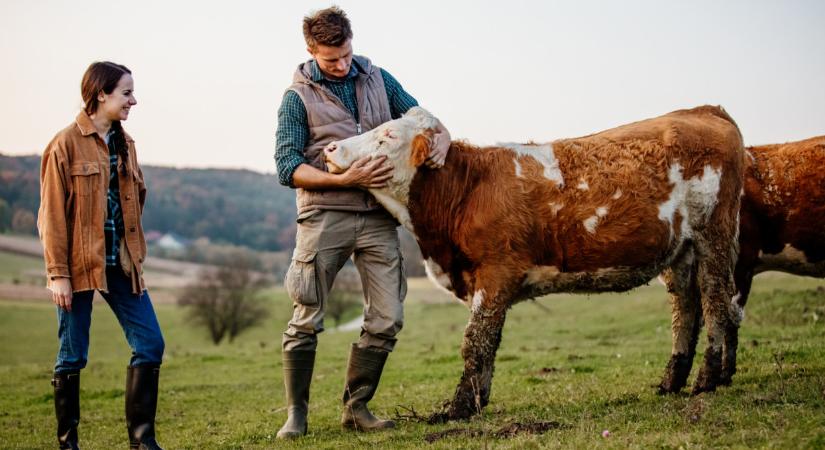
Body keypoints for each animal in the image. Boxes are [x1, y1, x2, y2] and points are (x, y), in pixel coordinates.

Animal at [326, 105, 744, 422]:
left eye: (386, 137)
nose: (330, 148)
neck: (467, 190)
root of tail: (703, 110)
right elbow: (489, 341)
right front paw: (479, 400)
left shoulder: (496, 272)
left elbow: (475, 341)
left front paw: (459, 408)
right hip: (680, 253)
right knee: (687, 310)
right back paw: (675, 381)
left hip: (713, 238)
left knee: (717, 305)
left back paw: (706, 380)